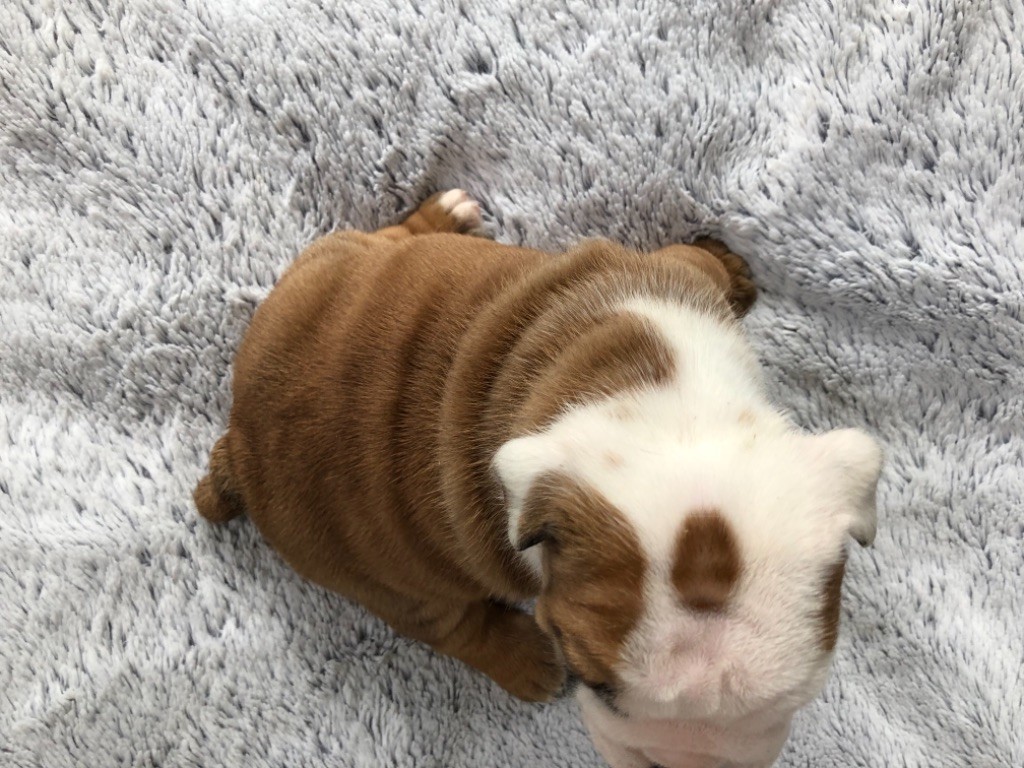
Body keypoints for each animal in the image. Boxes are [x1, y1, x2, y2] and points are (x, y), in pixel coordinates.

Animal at [194, 190, 882, 768]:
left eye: (794, 696)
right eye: (591, 680)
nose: (673, 762)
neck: (673, 414)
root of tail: (239, 440)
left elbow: (693, 261)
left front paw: (730, 268)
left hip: (319, 268)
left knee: (377, 238)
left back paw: (440, 218)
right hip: (385, 575)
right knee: (446, 624)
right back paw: (523, 660)